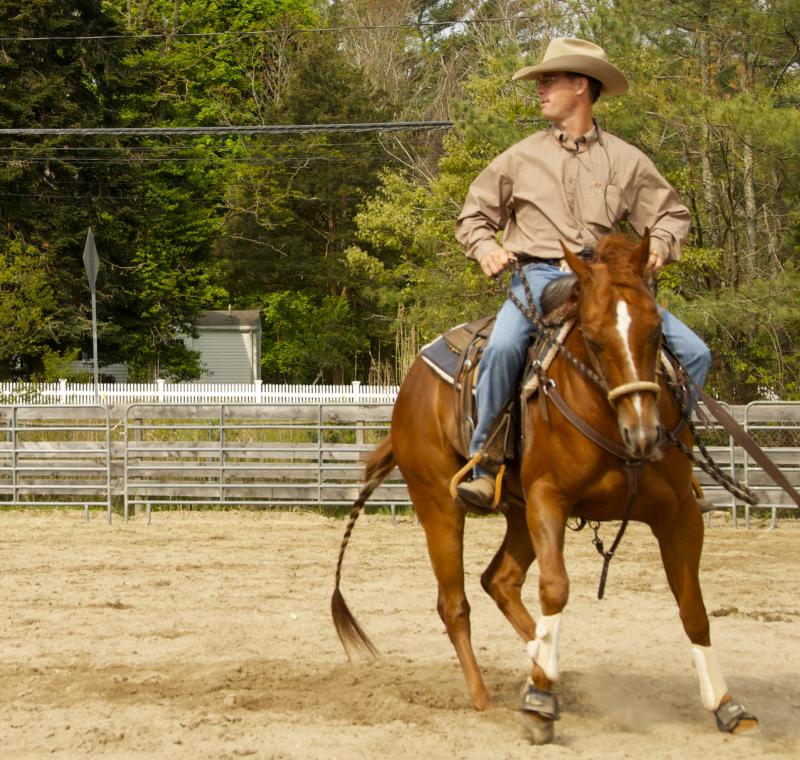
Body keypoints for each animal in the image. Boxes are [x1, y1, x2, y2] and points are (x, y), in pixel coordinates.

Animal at [330, 233, 756, 744]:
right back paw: (486, 695)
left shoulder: (680, 516)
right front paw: (537, 705)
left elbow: (692, 606)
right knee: (454, 603)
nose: (645, 435)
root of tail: (409, 387)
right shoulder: (549, 501)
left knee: (499, 581)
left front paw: (727, 705)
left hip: (517, 513)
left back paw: (546, 662)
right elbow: (555, 589)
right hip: (439, 504)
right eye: (593, 339)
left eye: (656, 332)